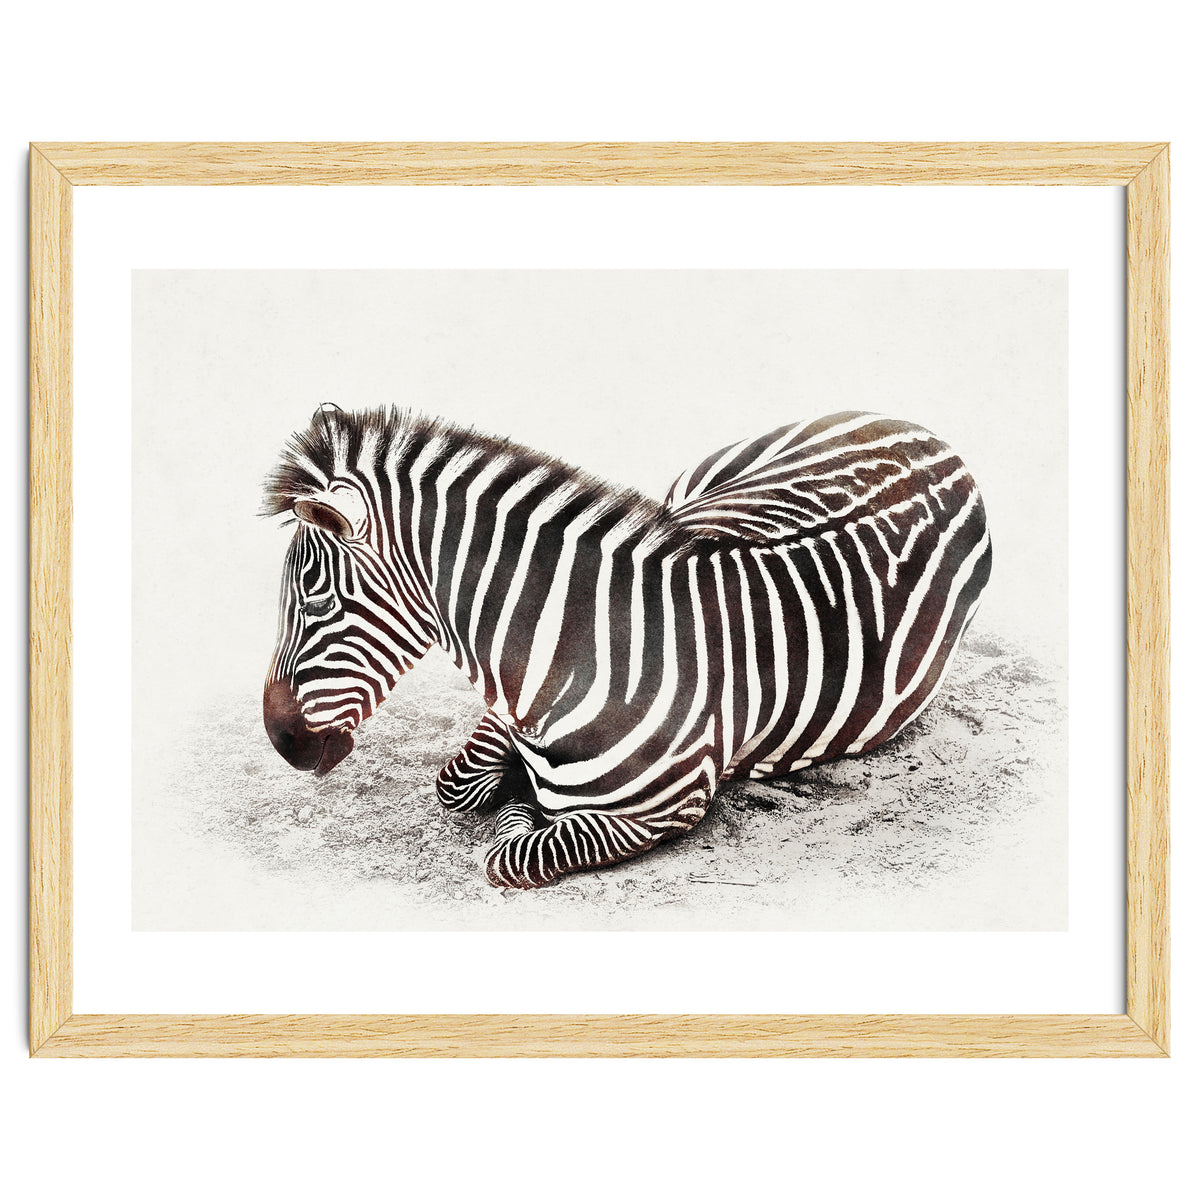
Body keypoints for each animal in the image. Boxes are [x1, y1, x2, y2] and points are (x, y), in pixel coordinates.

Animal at [263, 407, 991, 889]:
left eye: (317, 601)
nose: (281, 741)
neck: (584, 649)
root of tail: (936, 438)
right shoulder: (506, 711)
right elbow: (458, 784)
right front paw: (513, 785)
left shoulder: (665, 808)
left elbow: (511, 851)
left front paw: (521, 805)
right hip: (692, 491)